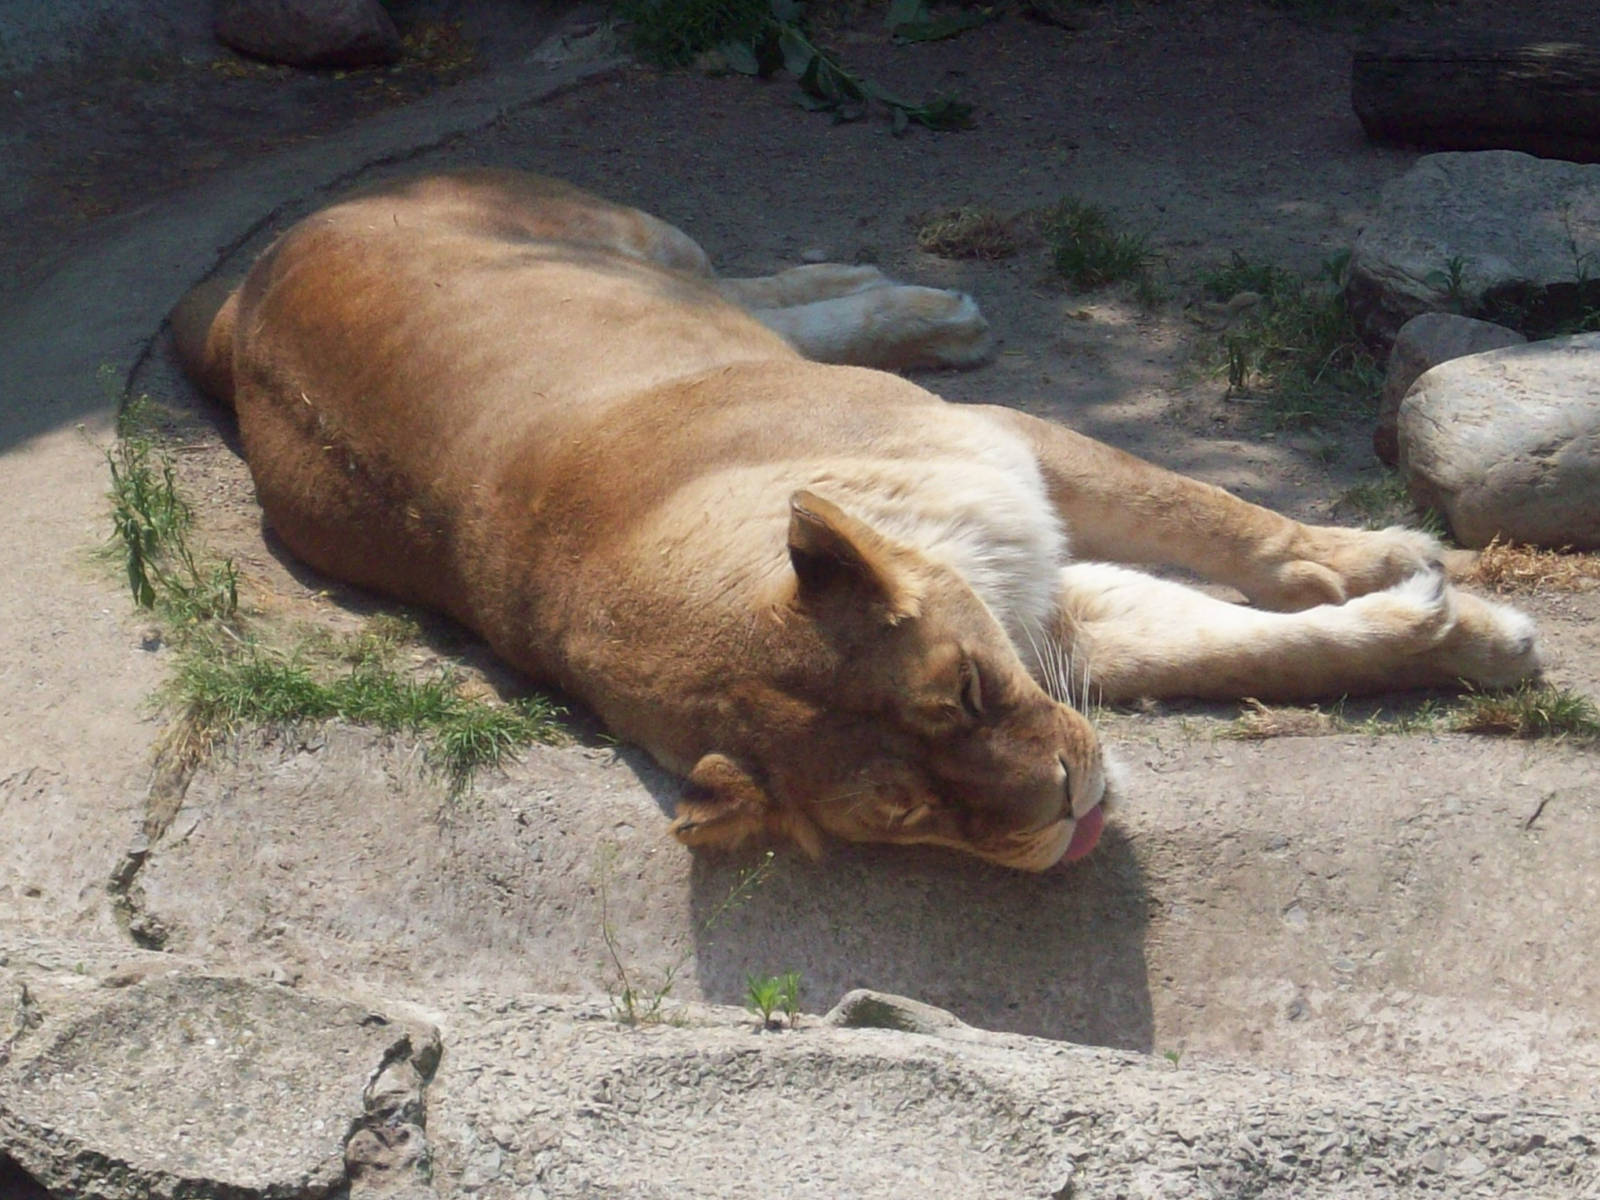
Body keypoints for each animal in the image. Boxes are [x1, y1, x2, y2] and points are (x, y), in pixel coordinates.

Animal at [170, 169, 1539, 871]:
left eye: (966, 695)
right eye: (908, 814)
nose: (1061, 815)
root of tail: (248, 281)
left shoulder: (1014, 454)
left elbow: (1206, 509)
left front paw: (1382, 557)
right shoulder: (1053, 613)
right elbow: (1246, 649)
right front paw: (1462, 637)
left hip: (626, 239)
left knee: (746, 281)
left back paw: (927, 304)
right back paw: (921, 304)